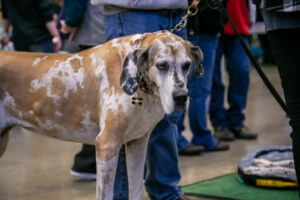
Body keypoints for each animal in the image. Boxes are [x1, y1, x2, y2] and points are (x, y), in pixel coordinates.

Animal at [0, 31, 203, 198]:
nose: (181, 97)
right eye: (161, 65)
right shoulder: (107, 146)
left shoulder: (137, 144)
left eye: (187, 65)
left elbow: (136, 190)